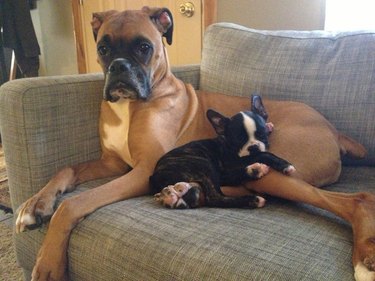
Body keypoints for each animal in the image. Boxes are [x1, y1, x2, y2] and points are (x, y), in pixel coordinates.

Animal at [151, 95, 296, 208]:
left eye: (262, 135)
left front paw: (269, 126)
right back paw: (254, 197)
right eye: (238, 140)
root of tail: (154, 177)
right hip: (202, 164)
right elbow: (264, 154)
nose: (253, 147)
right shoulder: (235, 160)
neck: (227, 143)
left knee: (224, 179)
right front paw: (285, 165)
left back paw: (254, 170)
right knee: (215, 197)